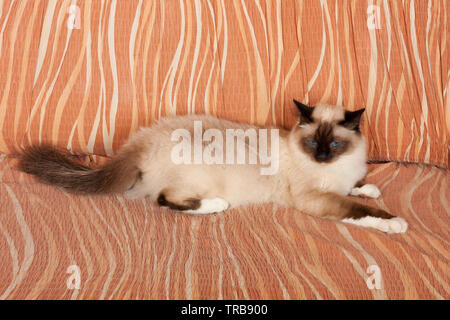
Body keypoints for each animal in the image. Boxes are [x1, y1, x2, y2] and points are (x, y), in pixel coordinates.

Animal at [18, 101, 408, 234]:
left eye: (335, 145)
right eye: (314, 144)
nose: (323, 157)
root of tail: (140, 141)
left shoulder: (340, 181)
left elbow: (358, 188)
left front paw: (369, 186)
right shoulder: (317, 198)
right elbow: (358, 210)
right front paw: (395, 223)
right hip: (201, 176)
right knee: (164, 199)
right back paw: (218, 205)